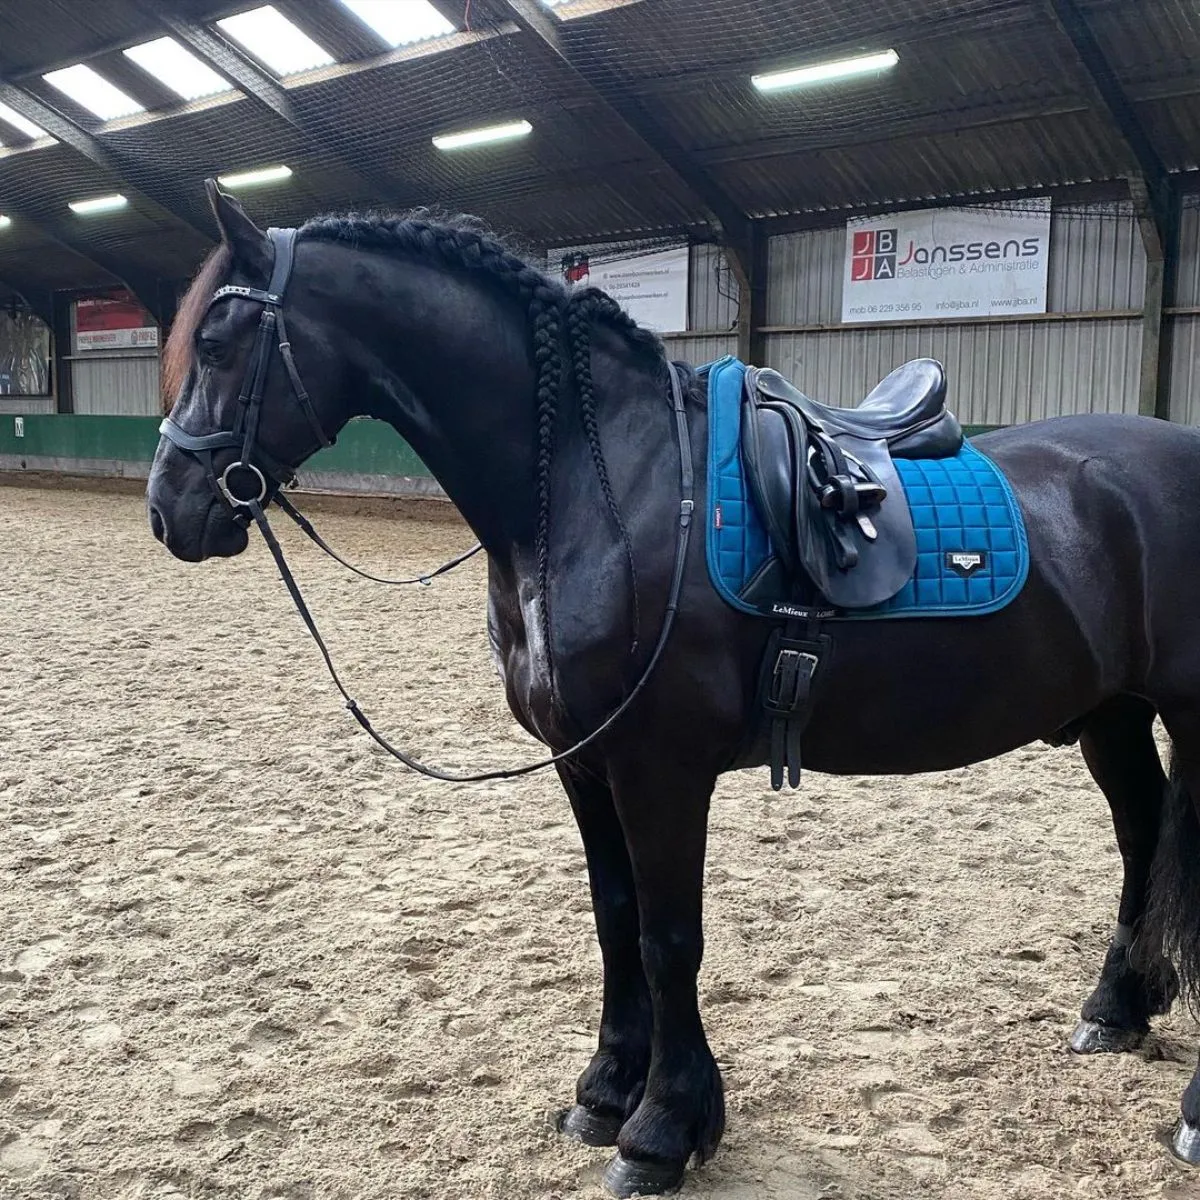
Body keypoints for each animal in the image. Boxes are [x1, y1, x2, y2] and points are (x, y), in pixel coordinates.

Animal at [146, 180, 1200, 1196]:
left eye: (218, 344)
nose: (169, 511)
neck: (601, 484)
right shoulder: (585, 764)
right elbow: (616, 922)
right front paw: (607, 1092)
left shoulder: (661, 767)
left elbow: (668, 939)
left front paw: (662, 1129)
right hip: (1111, 716)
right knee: (1142, 837)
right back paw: (1117, 1009)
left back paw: (1187, 1115)